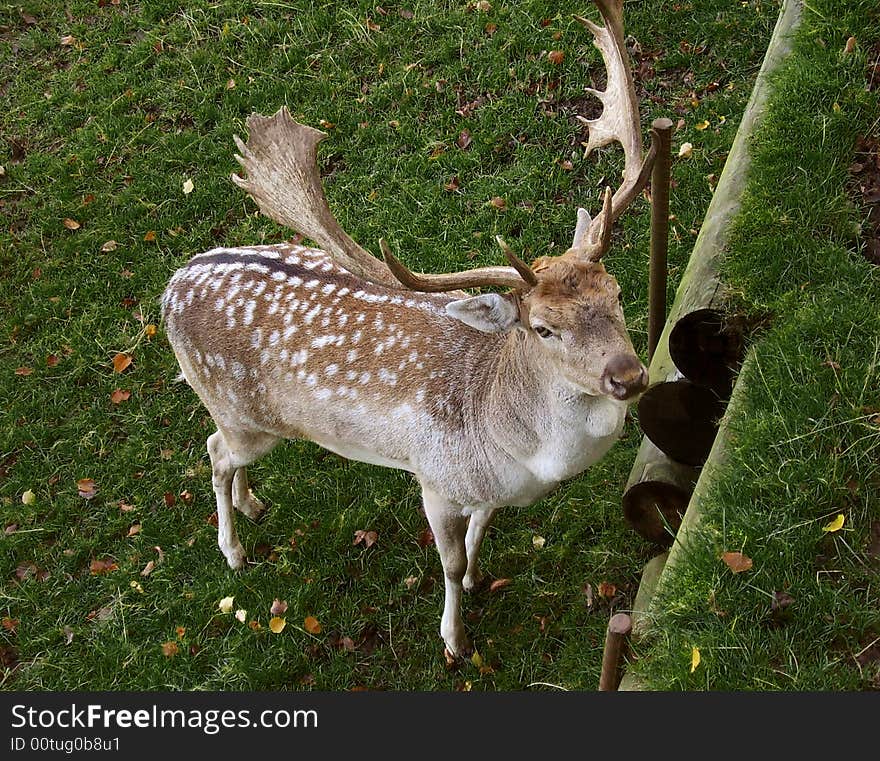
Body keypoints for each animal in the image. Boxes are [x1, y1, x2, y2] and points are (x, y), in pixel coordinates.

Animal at [163, 0, 660, 652]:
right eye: (543, 328)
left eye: (618, 293)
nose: (628, 375)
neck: (519, 456)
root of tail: (172, 287)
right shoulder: (436, 479)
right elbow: (446, 561)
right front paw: (455, 638)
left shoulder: (484, 491)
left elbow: (479, 532)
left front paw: (476, 577)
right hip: (244, 414)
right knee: (216, 449)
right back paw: (234, 551)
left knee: (223, 454)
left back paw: (253, 507)